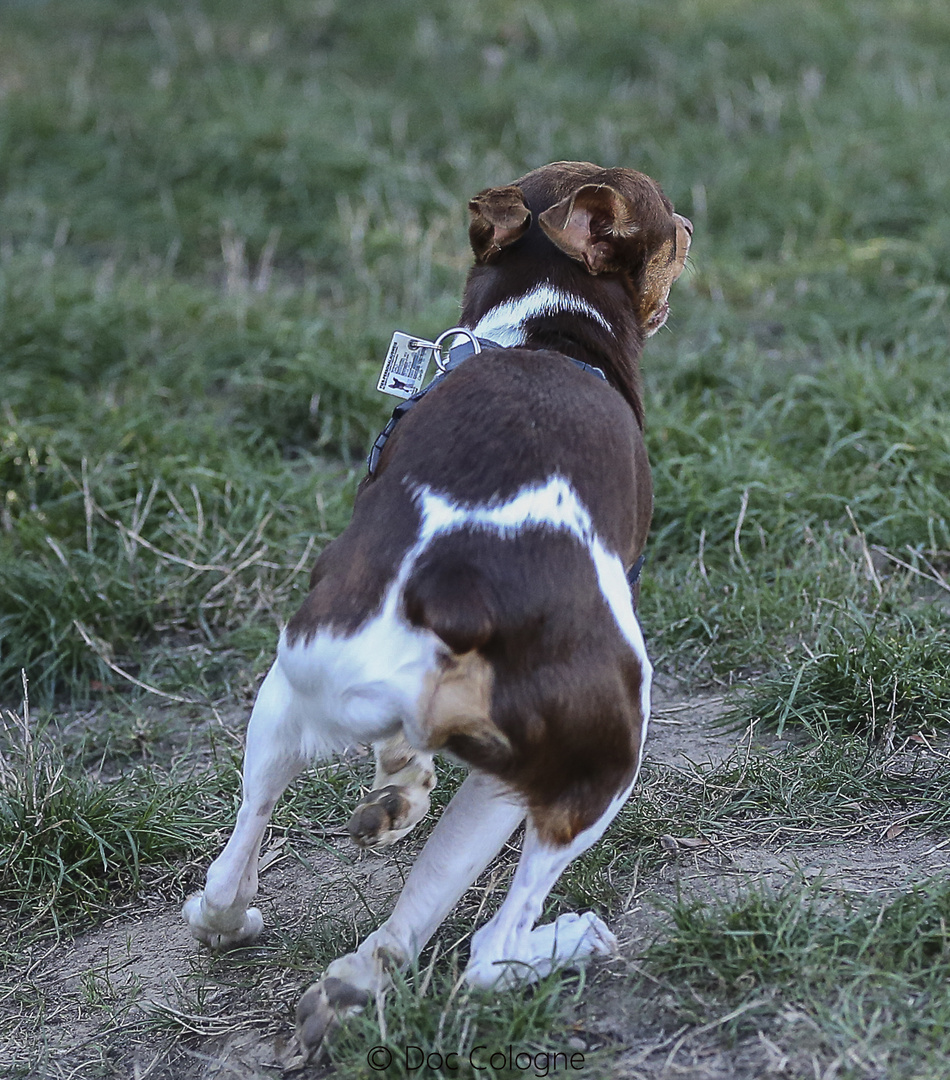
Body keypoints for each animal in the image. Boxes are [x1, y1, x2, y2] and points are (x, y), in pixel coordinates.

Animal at [183, 157, 690, 1054]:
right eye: (667, 224)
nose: (695, 226)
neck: (539, 330)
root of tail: (456, 594)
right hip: (601, 756)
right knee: (489, 953)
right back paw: (562, 942)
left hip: (290, 694)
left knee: (243, 873)